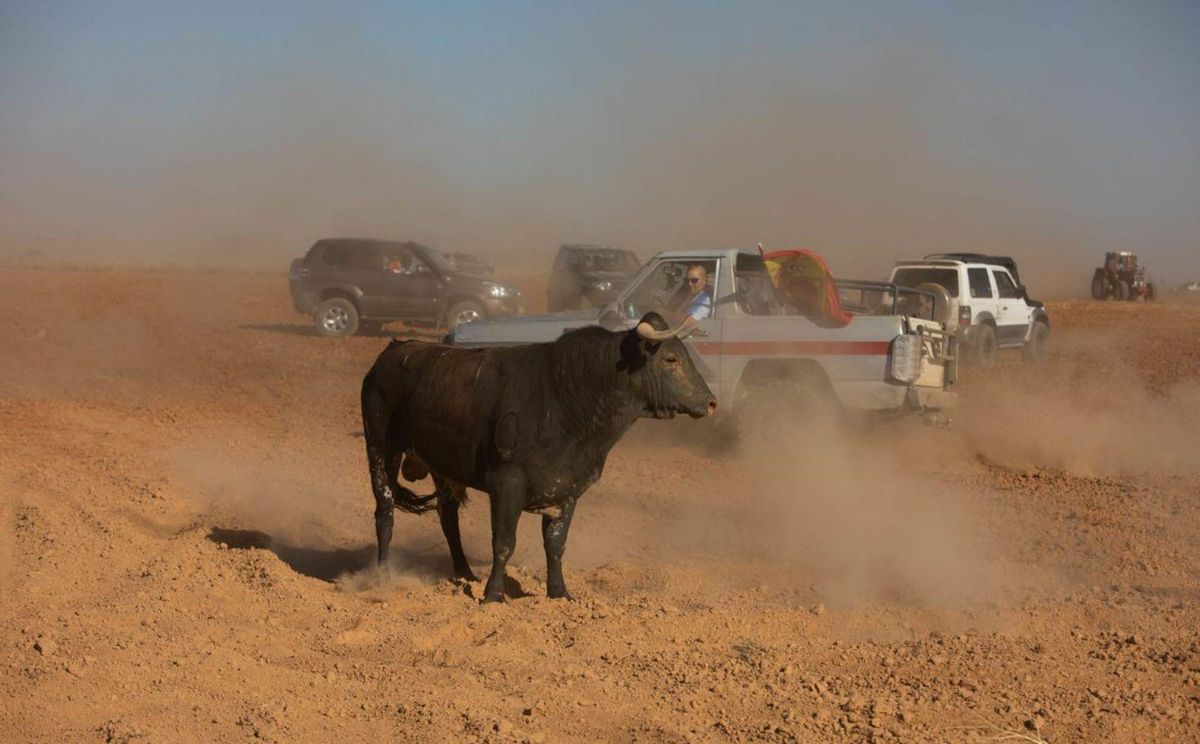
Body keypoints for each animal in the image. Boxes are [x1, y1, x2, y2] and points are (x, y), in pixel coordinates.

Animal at [355, 312, 710, 602]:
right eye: (671, 358)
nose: (710, 401)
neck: (568, 397)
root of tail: (394, 350)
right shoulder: (507, 484)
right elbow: (504, 543)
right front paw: (493, 595)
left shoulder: (567, 489)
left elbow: (555, 545)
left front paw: (559, 593)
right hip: (381, 448)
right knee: (385, 511)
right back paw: (383, 576)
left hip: (443, 469)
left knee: (448, 517)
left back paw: (465, 574)